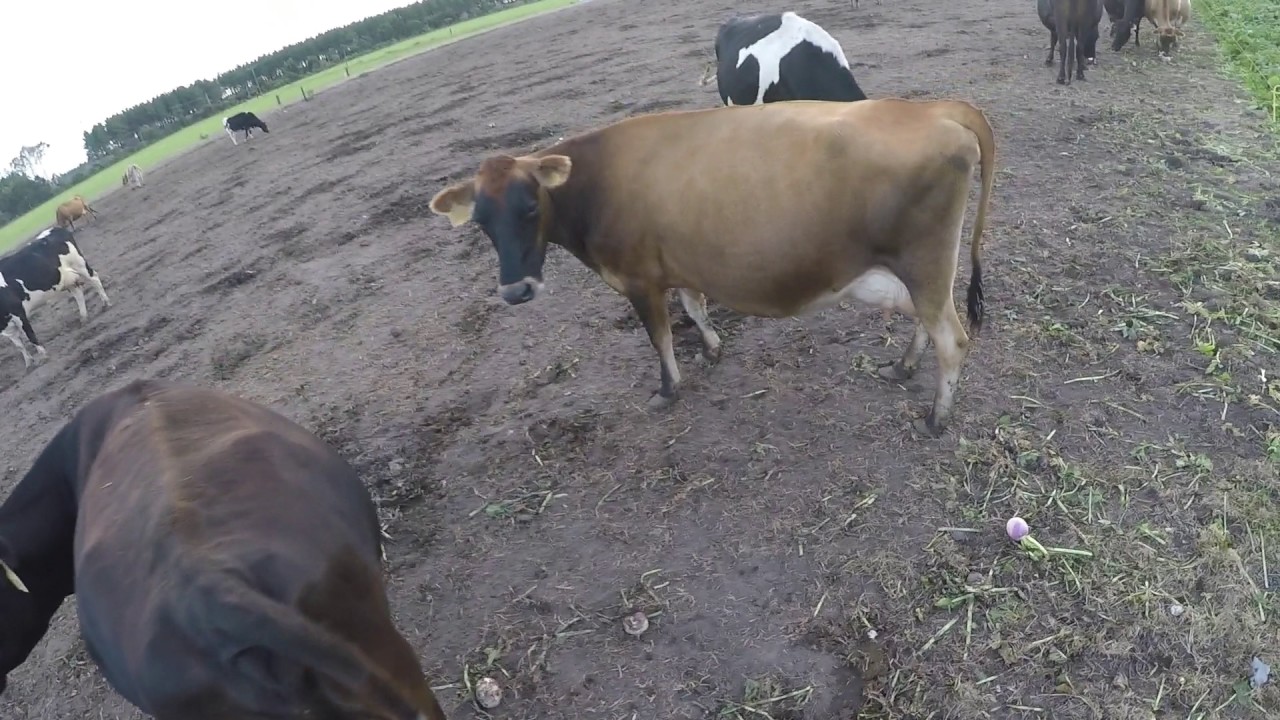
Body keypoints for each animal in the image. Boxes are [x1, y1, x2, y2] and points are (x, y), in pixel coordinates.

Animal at [0, 226, 111, 368]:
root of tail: (57, 228)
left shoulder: (18, 312)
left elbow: (30, 336)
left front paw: (43, 357)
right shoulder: (5, 327)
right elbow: (19, 346)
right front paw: (29, 364)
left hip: (79, 264)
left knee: (94, 279)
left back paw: (106, 303)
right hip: (65, 279)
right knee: (78, 293)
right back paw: (83, 318)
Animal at [429, 99, 995, 436]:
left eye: (530, 206)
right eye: (480, 220)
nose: (515, 290)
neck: (593, 185)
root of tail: (931, 108)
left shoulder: (638, 279)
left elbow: (660, 337)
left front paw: (667, 390)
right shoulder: (678, 265)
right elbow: (695, 306)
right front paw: (711, 349)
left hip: (924, 262)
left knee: (952, 338)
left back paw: (937, 417)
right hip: (909, 271)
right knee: (923, 321)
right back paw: (902, 366)